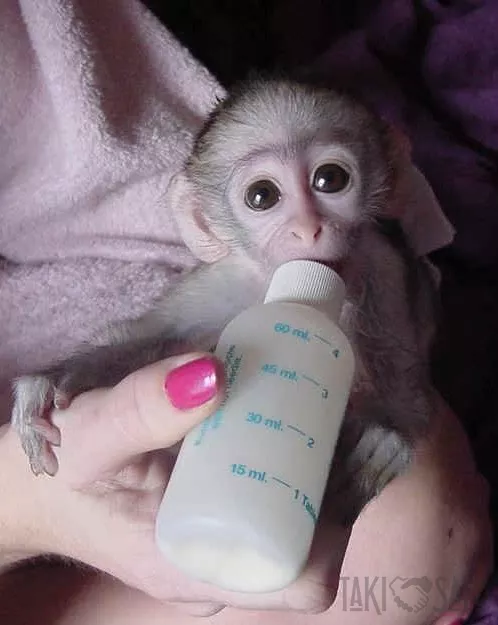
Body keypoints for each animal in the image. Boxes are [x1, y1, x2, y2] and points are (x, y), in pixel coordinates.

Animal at [11, 78, 440, 526]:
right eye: (262, 196)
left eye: (330, 179)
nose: (309, 228)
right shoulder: (221, 283)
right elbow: (156, 335)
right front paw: (52, 380)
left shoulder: (384, 269)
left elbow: (397, 355)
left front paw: (391, 430)